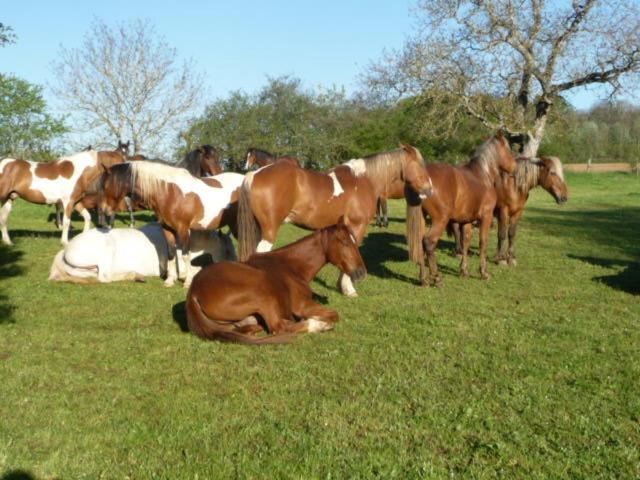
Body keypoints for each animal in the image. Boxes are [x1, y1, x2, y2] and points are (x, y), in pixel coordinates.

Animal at [100, 161, 245, 288]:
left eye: (105, 186)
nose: (104, 210)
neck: (170, 192)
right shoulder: (167, 228)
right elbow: (171, 254)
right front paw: (170, 280)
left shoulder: (184, 229)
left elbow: (186, 255)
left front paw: (187, 282)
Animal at [185, 223, 364, 344]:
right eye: (345, 242)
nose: (361, 272)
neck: (291, 266)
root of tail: (194, 292)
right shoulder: (303, 305)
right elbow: (334, 314)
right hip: (263, 296)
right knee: (279, 327)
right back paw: (318, 325)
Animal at [238, 142, 432, 296]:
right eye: (420, 165)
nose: (429, 189)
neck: (363, 181)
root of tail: (253, 176)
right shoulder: (356, 226)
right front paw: (348, 288)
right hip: (269, 231)